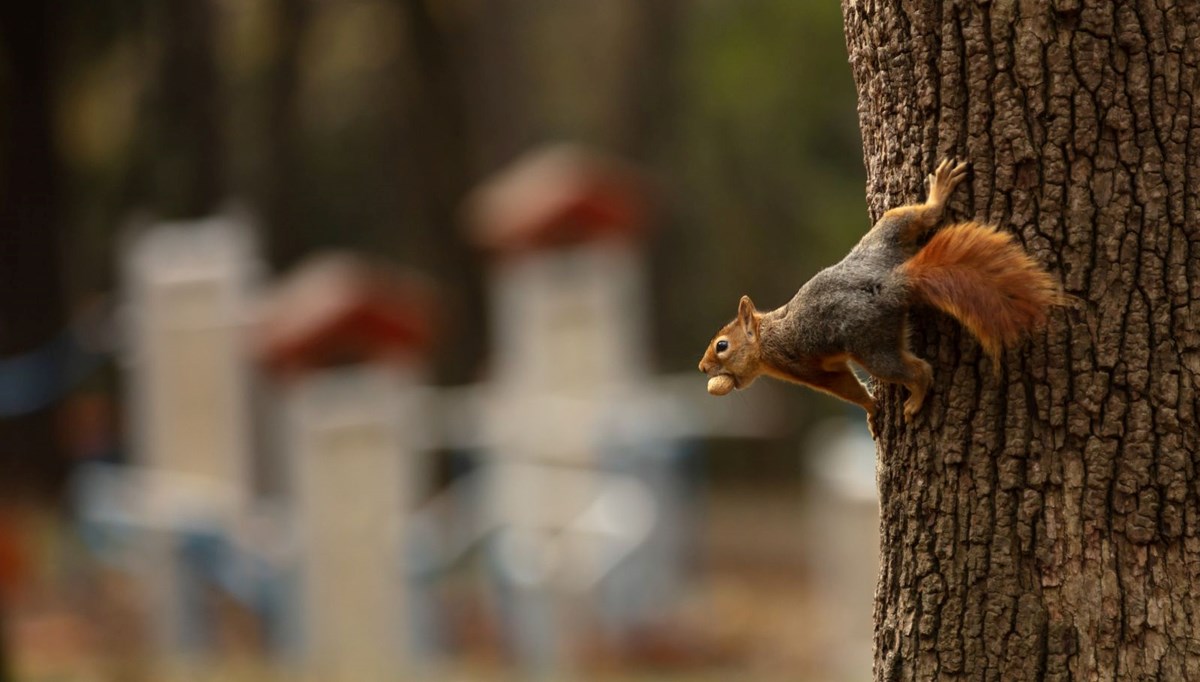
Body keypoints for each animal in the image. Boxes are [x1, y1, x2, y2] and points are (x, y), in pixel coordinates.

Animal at [700, 159, 1065, 420]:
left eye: (722, 346)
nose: (703, 368)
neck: (765, 337)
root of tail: (890, 282)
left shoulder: (804, 366)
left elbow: (845, 386)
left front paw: (871, 410)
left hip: (873, 345)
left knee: (918, 371)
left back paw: (916, 399)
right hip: (885, 234)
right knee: (917, 216)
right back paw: (938, 194)